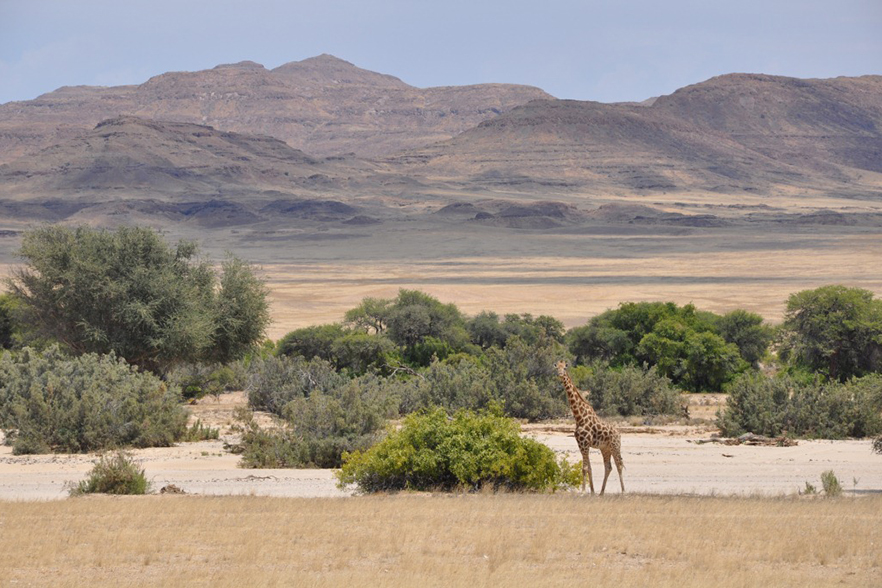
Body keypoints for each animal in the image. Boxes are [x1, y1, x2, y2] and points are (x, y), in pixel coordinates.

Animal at [556, 360, 624, 494]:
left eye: (564, 368)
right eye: (557, 367)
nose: (560, 374)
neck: (579, 417)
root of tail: (619, 434)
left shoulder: (585, 443)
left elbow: (585, 467)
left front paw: (582, 492)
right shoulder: (580, 443)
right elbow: (588, 468)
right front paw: (591, 491)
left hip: (615, 446)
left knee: (619, 465)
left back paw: (623, 492)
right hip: (605, 448)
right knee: (608, 467)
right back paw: (601, 493)